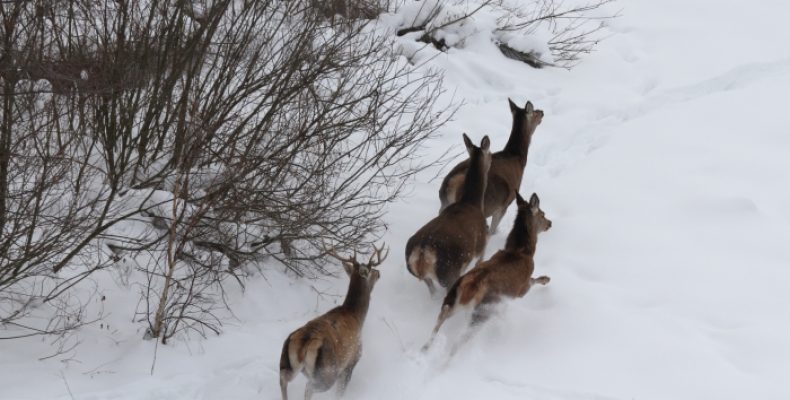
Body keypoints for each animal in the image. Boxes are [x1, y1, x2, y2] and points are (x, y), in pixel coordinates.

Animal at [280, 244, 388, 400]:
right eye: (370, 270)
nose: (378, 272)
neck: (357, 316)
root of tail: (305, 341)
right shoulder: (351, 361)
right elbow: (340, 393)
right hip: (328, 370)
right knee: (309, 387)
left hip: (287, 362)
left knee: (283, 379)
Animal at [406, 133, 492, 296]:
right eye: (491, 154)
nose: (492, 161)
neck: (474, 202)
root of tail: (422, 251)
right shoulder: (482, 245)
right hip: (449, 271)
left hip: (423, 274)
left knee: (431, 289)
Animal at [424, 192, 552, 352]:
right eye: (542, 214)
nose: (550, 223)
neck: (522, 251)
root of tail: (468, 288)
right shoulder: (521, 288)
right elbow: (533, 280)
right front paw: (546, 279)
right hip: (481, 312)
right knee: (458, 341)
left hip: (451, 299)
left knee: (438, 321)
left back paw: (425, 348)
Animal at [440, 97, 544, 234]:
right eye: (535, 112)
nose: (542, 112)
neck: (518, 158)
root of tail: (450, 185)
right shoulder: (504, 204)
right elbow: (493, 229)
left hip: (442, 206)